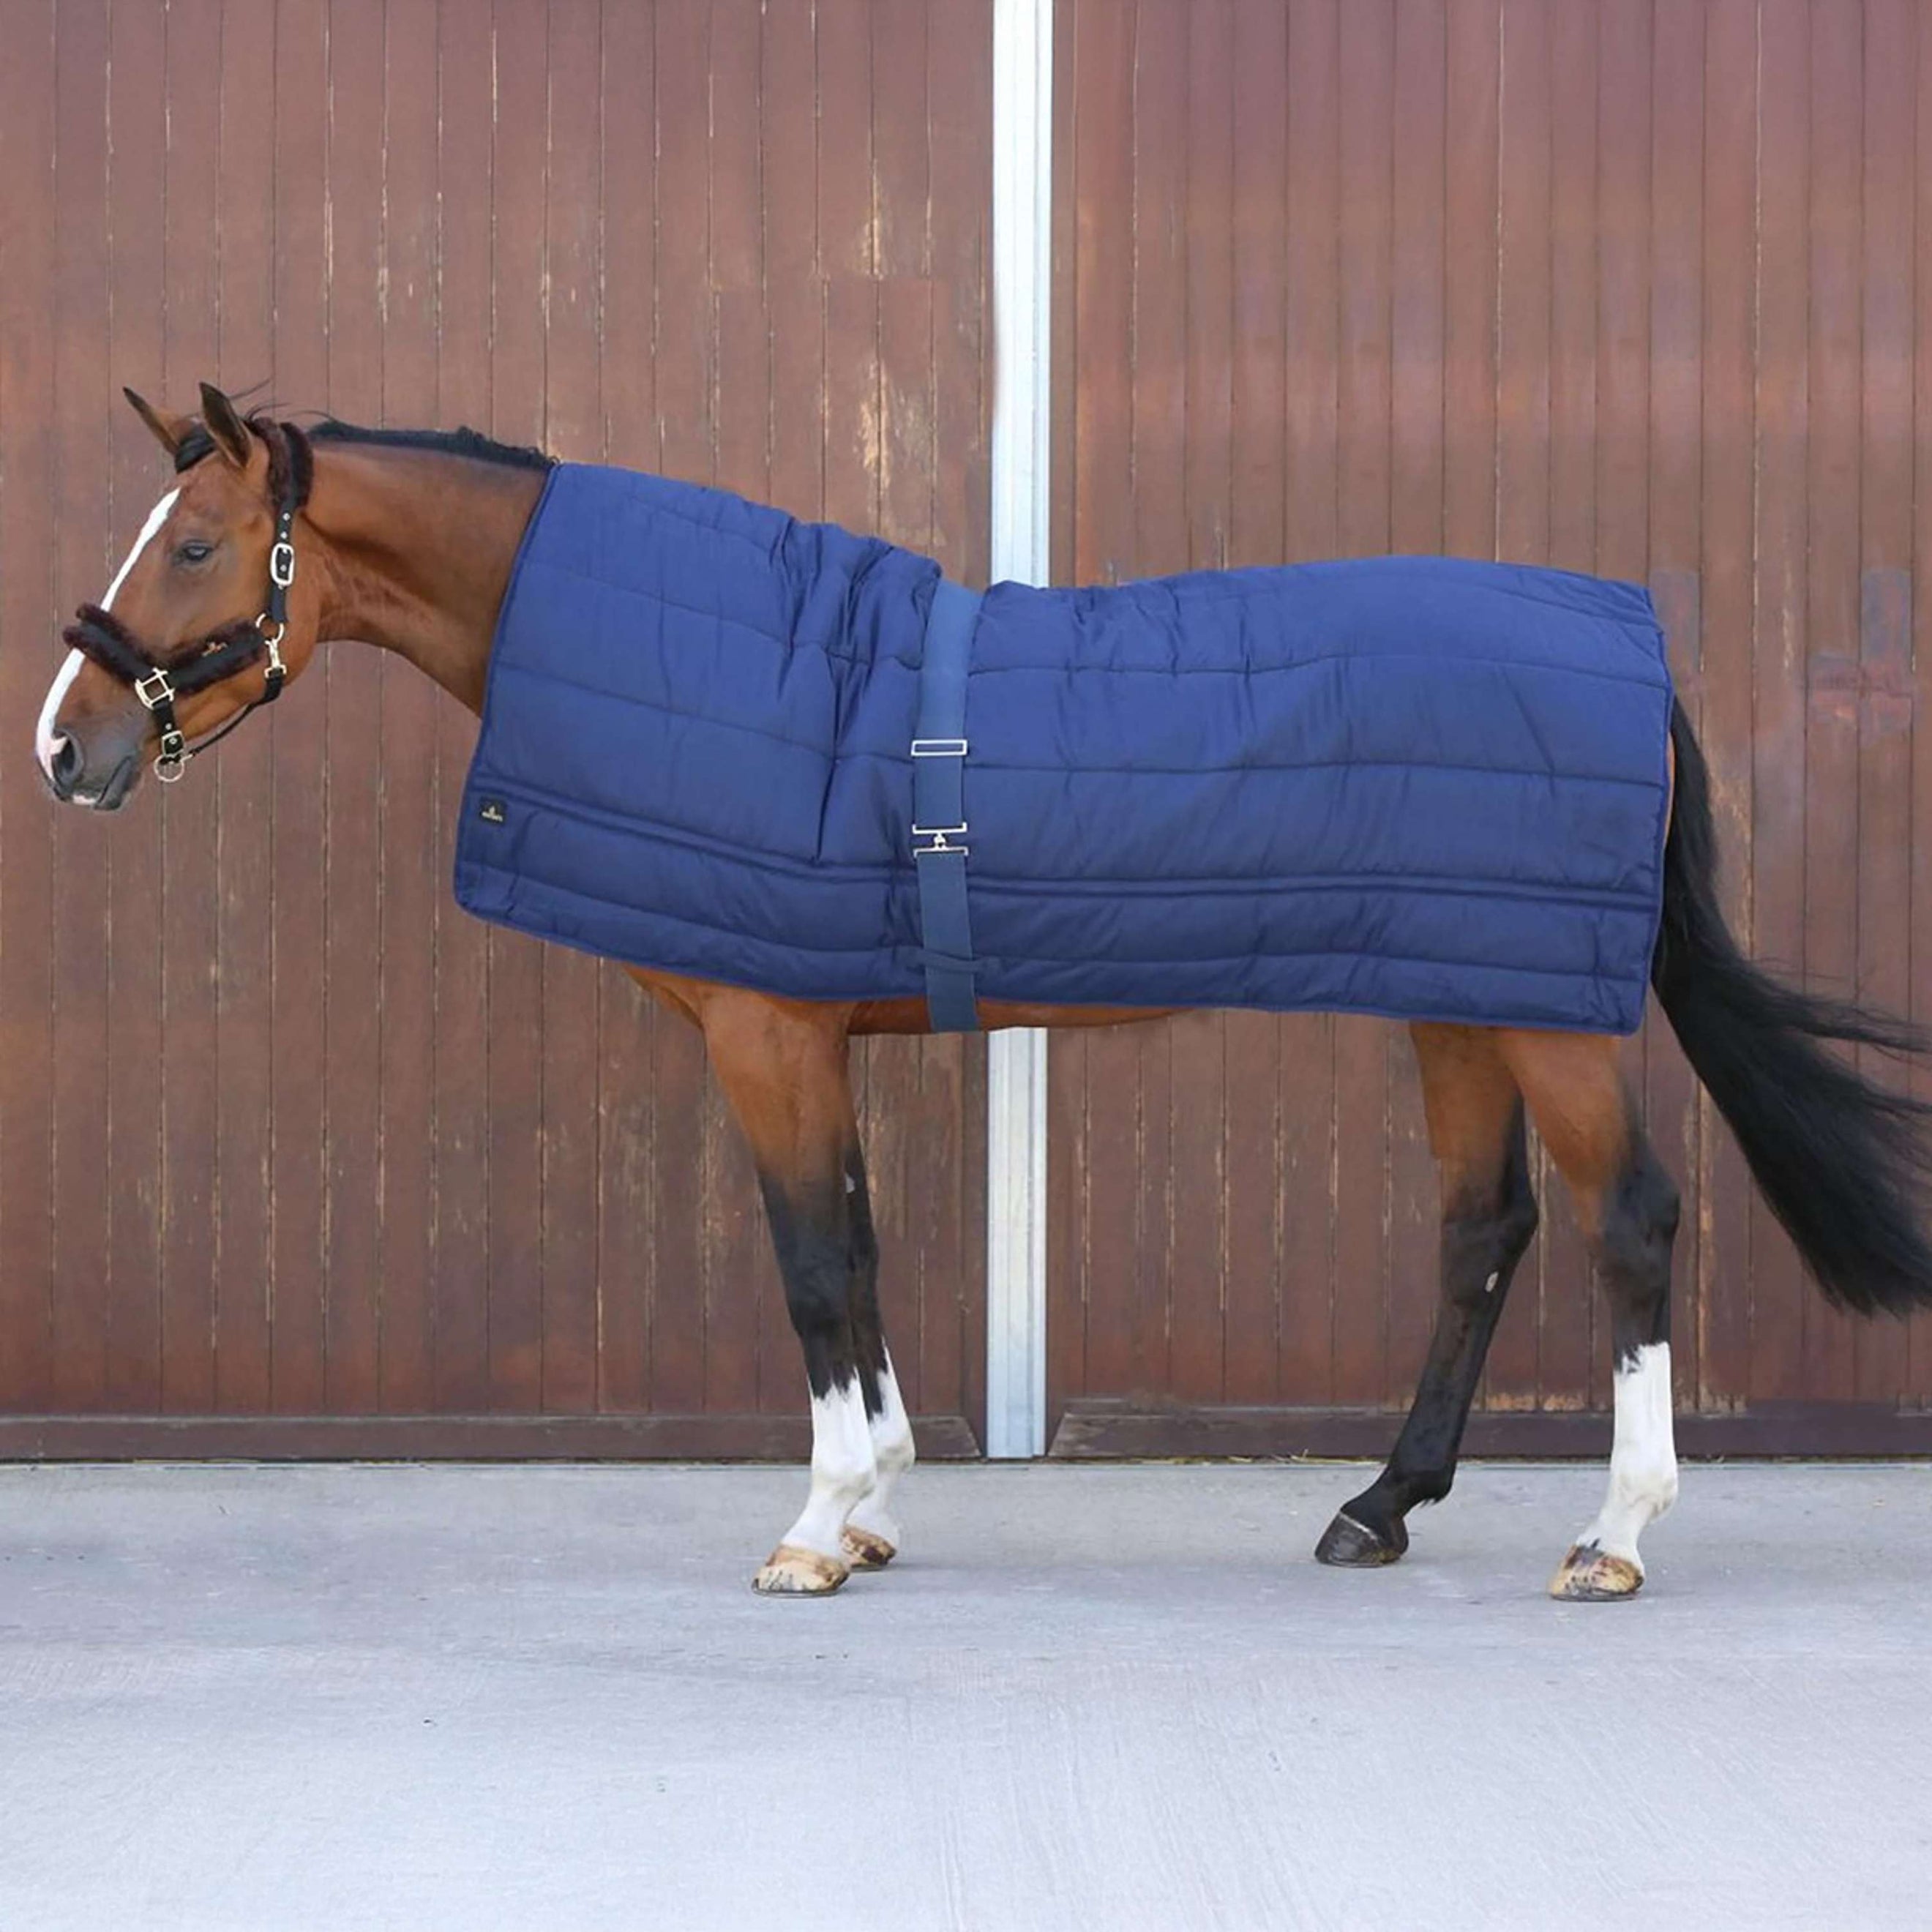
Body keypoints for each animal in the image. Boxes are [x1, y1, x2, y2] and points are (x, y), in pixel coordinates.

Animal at [38, 382, 1932, 1602]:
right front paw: (875, 1504)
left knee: (1634, 1225)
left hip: (1547, 1017)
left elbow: (814, 1267)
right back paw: (1380, 1508)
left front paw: (815, 1529)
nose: (68, 746)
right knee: (1486, 1230)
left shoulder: (768, 1036)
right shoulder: (816, 1032)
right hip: (1463, 993)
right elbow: (864, 1256)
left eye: (194, 545)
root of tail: (1628, 646)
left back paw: (1613, 1535)